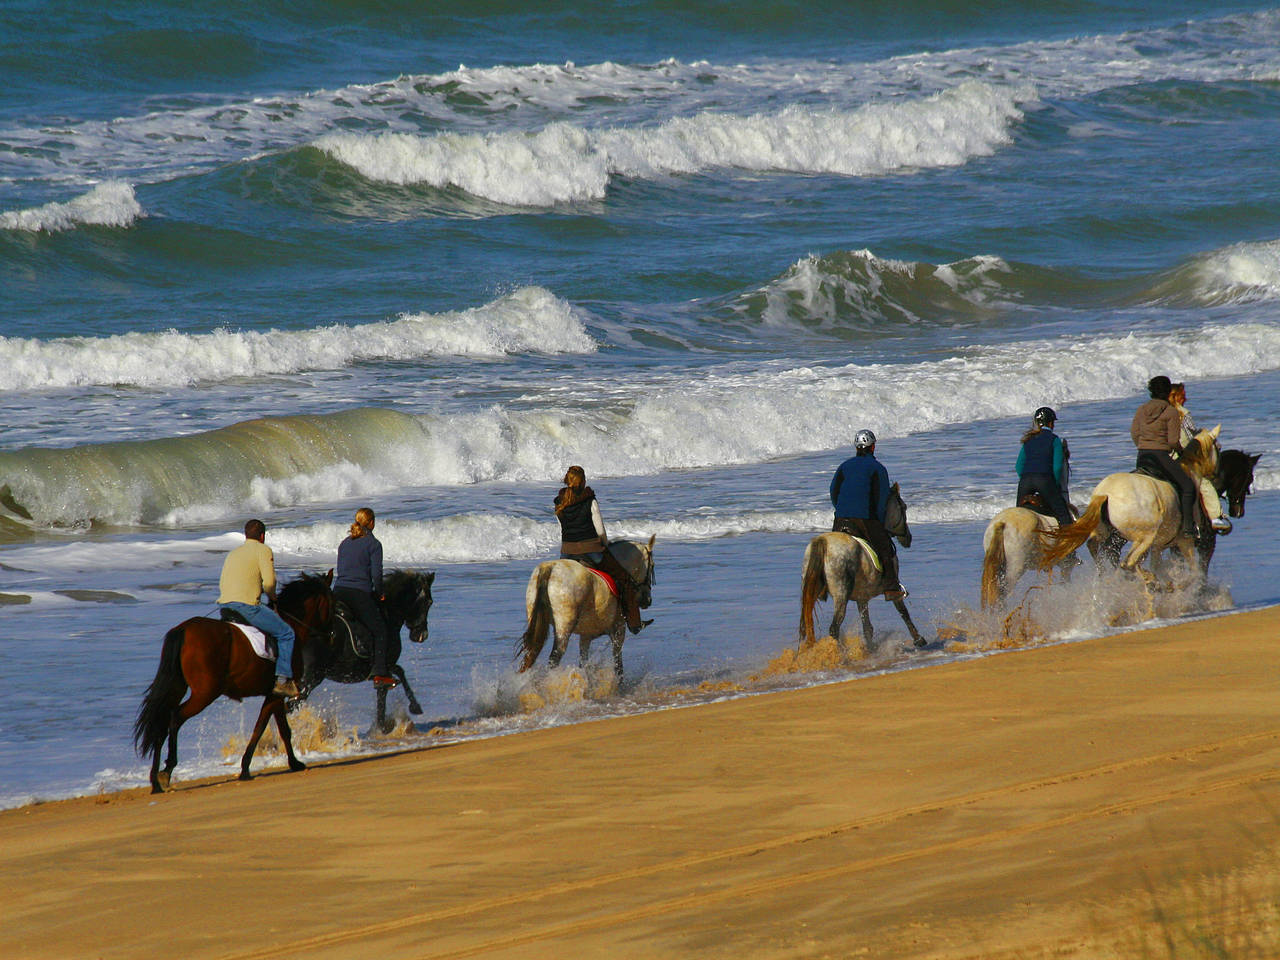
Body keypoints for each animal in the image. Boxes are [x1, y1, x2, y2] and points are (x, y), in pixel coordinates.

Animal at [133, 576, 335, 793]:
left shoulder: (273, 695)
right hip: (205, 693)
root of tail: (184, 629)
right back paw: (167, 770)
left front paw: (283, 763)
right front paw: (259, 766)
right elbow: (268, 729)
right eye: (332, 602)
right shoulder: (276, 694)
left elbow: (273, 728)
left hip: (178, 688)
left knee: (161, 722)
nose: (331, 636)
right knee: (175, 718)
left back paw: (155, 781)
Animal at [296, 570, 437, 737]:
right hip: (310, 678)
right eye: (429, 602)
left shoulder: (383, 667)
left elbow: (399, 672)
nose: (422, 635)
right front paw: (384, 727)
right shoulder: (384, 665)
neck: (387, 613)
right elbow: (385, 692)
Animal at [517, 537, 655, 680]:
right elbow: (618, 666)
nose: (648, 600)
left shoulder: (586, 636)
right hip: (564, 627)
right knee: (554, 658)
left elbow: (584, 663)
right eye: (652, 566)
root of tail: (551, 567)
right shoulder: (618, 630)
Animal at [793, 488, 926, 655]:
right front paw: (918, 639)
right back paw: (840, 654)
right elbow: (903, 612)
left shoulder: (862, 597)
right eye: (904, 507)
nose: (908, 537)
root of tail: (823, 542)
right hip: (841, 595)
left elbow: (867, 627)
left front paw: (871, 649)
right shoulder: (892, 588)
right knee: (834, 628)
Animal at [1039, 427, 1218, 586]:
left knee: (1100, 549)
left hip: (1109, 533)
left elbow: (1159, 565)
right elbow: (1193, 570)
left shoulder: (1160, 545)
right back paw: (1146, 580)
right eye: (1218, 447)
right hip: (1144, 536)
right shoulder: (1184, 541)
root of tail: (1105, 492)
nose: (1215, 475)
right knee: (1128, 561)